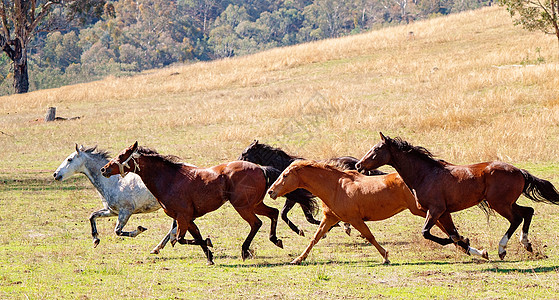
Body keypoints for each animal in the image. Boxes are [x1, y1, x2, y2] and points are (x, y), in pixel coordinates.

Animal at [101, 142, 284, 264]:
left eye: (122, 156)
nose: (104, 169)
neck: (169, 179)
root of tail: (261, 168)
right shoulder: (188, 219)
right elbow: (195, 236)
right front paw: (209, 257)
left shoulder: (183, 217)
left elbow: (179, 239)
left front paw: (209, 244)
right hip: (255, 204)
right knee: (273, 213)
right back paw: (275, 240)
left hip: (243, 207)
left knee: (256, 223)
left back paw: (245, 250)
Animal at [238, 141, 388, 237]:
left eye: (244, 154)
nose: (238, 162)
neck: (283, 165)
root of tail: (357, 163)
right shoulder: (295, 199)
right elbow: (288, 215)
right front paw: (302, 231)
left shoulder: (297, 198)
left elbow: (301, 216)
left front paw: (327, 228)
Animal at [266, 161, 464, 264]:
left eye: (285, 175)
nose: (271, 192)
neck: (335, 187)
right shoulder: (330, 219)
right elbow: (314, 238)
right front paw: (298, 259)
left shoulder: (354, 219)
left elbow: (369, 236)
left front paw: (385, 257)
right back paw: (462, 244)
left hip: (420, 210)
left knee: (441, 223)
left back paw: (462, 244)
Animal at [356, 133, 559, 260]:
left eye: (376, 149)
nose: (358, 165)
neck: (425, 174)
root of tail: (519, 171)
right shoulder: (443, 212)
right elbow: (451, 232)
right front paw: (474, 248)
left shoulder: (435, 210)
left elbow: (428, 233)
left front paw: (460, 241)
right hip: (506, 202)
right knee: (528, 211)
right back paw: (526, 244)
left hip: (499, 204)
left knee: (516, 219)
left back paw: (502, 249)